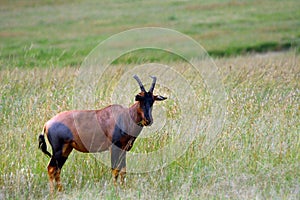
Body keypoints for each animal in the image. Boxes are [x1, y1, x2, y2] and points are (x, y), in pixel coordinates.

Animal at [38, 75, 166, 192]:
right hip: (58, 150)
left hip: (66, 150)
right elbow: (115, 170)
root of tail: (47, 124)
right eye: (141, 100)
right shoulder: (114, 147)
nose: (148, 120)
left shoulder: (123, 149)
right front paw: (115, 190)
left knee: (57, 169)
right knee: (51, 169)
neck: (124, 116)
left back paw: (60, 191)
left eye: (152, 101)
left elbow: (123, 170)